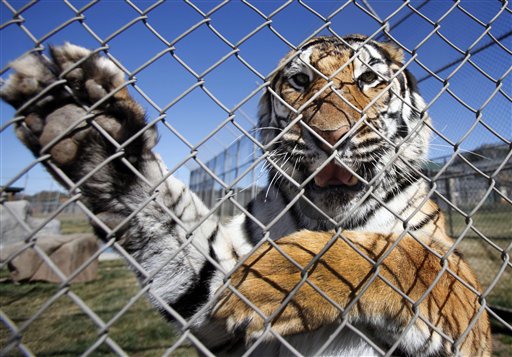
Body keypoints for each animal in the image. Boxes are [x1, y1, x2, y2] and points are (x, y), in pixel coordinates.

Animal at [0, 34, 490, 354]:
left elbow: (401, 254)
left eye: (368, 79)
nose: (330, 134)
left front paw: (282, 274)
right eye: (300, 80)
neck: (331, 219)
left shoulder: (459, 289)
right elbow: (167, 223)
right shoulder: (212, 289)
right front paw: (82, 119)